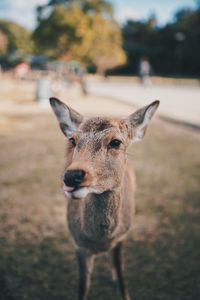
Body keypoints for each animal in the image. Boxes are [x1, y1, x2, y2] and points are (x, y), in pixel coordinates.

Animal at [49, 97, 159, 298]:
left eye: (116, 142)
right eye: (73, 140)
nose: (72, 176)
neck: (99, 240)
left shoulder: (121, 238)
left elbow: (122, 275)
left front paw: (122, 288)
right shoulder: (78, 245)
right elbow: (83, 287)